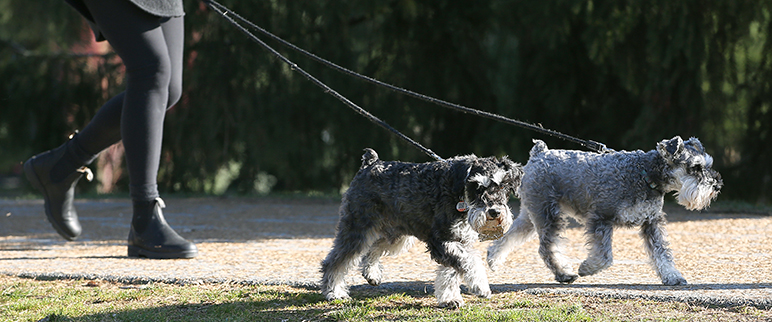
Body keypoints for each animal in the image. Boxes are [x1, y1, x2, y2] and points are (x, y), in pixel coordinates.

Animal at [320, 148, 524, 306]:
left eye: (503, 186)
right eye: (478, 186)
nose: (494, 211)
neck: (458, 192)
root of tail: (370, 163)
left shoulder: (458, 241)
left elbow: (452, 272)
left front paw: (449, 299)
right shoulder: (442, 240)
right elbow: (469, 262)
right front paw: (480, 286)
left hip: (397, 236)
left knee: (373, 248)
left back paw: (372, 274)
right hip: (357, 229)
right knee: (335, 260)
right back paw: (334, 293)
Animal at [488, 136, 724, 284]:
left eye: (708, 164)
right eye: (695, 167)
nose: (717, 186)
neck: (645, 174)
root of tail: (539, 153)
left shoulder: (652, 222)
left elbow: (662, 252)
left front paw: (673, 276)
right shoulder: (601, 217)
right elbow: (604, 255)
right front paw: (587, 268)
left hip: (531, 214)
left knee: (510, 235)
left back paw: (493, 258)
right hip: (548, 215)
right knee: (547, 247)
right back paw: (564, 273)